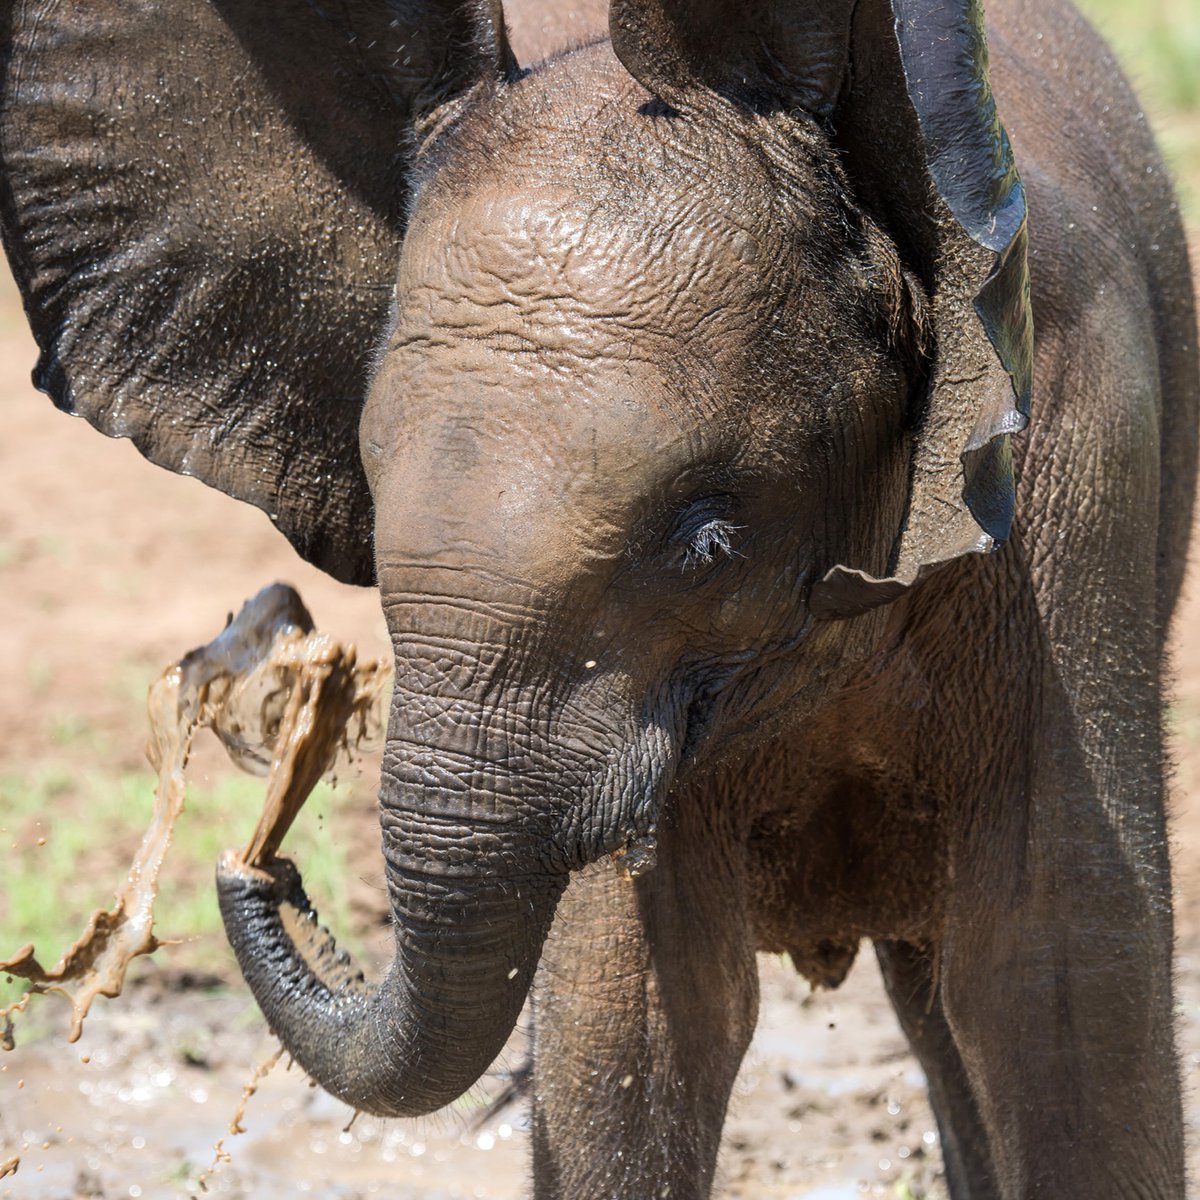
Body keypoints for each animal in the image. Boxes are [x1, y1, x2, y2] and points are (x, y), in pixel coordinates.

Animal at [0, 0, 1195, 1195]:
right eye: (372, 503)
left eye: (708, 540)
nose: (266, 868)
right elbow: (630, 1023)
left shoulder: (1074, 464)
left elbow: (1057, 975)